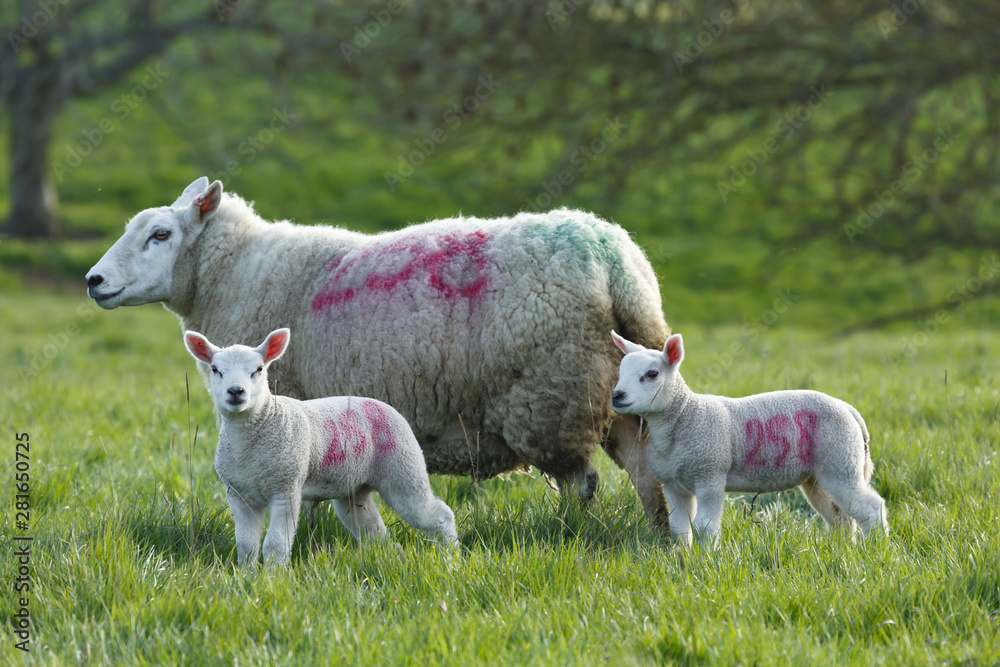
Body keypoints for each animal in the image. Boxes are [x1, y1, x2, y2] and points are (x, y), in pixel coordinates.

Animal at [86, 177, 672, 528]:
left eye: (160, 234)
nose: (93, 281)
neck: (236, 273)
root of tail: (617, 261)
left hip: (551, 394)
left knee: (581, 483)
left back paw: (568, 531)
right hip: (611, 385)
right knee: (644, 471)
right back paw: (659, 535)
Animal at [183, 326, 459, 566]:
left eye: (258, 370)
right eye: (215, 369)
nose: (236, 391)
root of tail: (381, 404)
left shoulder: (286, 488)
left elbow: (275, 544)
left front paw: (273, 577)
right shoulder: (239, 494)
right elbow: (246, 545)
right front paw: (247, 576)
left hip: (404, 468)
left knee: (438, 514)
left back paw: (451, 556)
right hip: (353, 487)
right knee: (372, 529)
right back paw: (382, 558)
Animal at [610, 330, 889, 548]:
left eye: (652, 374)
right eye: (620, 372)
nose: (617, 395)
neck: (685, 415)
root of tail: (849, 410)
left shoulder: (710, 475)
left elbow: (704, 527)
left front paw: (707, 561)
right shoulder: (673, 485)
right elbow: (679, 529)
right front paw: (683, 558)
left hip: (841, 461)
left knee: (872, 507)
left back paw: (876, 548)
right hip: (818, 475)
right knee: (840, 515)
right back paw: (843, 549)